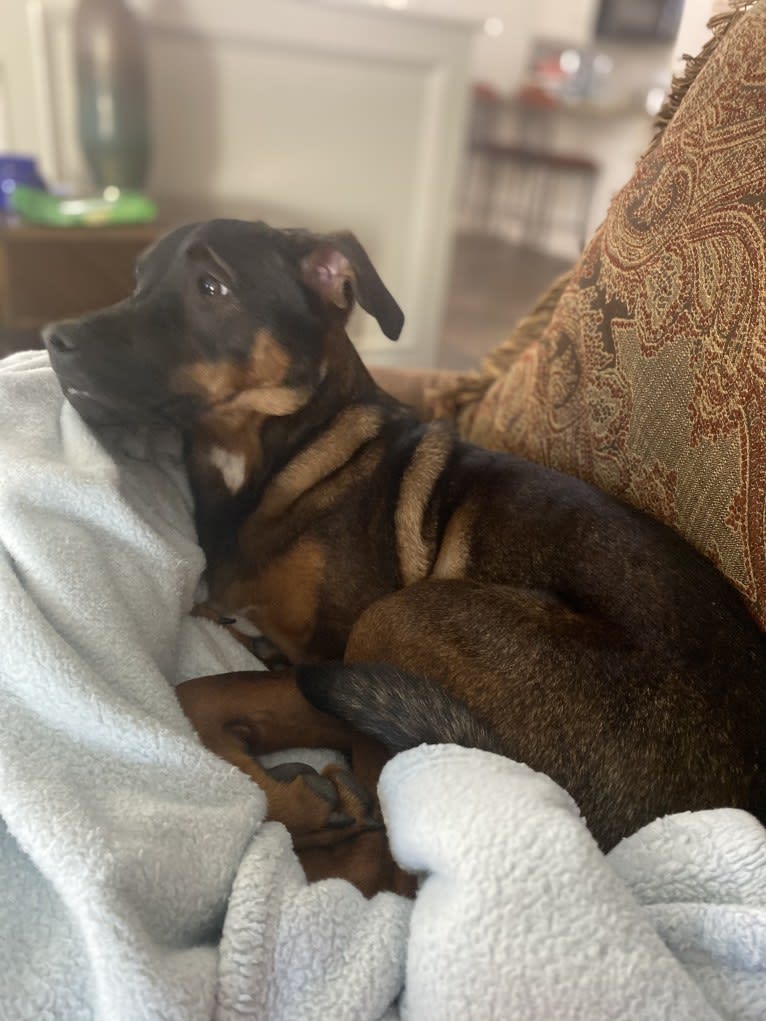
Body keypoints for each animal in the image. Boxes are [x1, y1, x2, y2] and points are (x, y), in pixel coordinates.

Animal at [41, 219, 766, 857]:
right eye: (137, 280)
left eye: (210, 288)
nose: (53, 339)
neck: (284, 454)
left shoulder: (330, 656)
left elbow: (201, 696)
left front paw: (295, 803)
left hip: (397, 624)